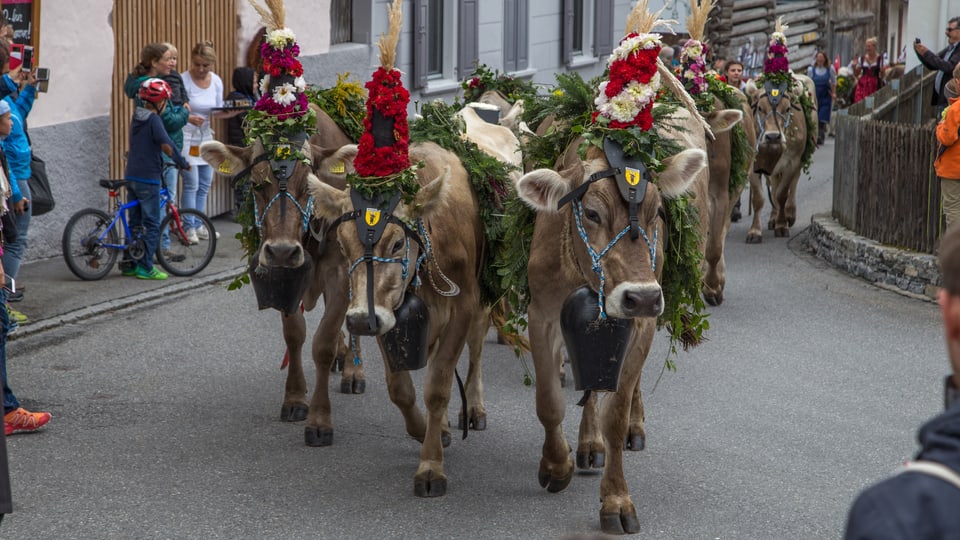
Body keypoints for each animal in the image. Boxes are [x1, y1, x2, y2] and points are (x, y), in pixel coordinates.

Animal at [199, 106, 364, 448]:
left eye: (308, 186)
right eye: (256, 185)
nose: (283, 251)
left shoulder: (341, 273)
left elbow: (323, 343)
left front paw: (319, 420)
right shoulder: (284, 275)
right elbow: (295, 335)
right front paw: (295, 399)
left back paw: (355, 370)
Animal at [312, 140, 488, 498]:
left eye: (396, 243)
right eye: (343, 244)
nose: (359, 321)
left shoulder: (464, 305)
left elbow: (438, 386)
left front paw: (431, 467)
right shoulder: (384, 311)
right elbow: (400, 389)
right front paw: (426, 431)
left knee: (476, 351)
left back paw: (474, 408)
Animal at [512, 104, 708, 532]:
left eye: (657, 212)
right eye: (590, 212)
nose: (643, 296)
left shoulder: (641, 324)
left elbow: (614, 415)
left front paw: (617, 500)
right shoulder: (542, 314)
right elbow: (549, 401)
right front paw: (556, 465)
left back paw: (626, 428)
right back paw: (587, 445)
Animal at [748, 73, 812, 242]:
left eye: (788, 108)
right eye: (760, 108)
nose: (773, 137)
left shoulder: (792, 162)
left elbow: (782, 194)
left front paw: (782, 226)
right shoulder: (753, 164)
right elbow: (759, 198)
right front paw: (755, 231)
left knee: (792, 185)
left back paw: (789, 215)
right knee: (773, 186)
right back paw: (773, 217)